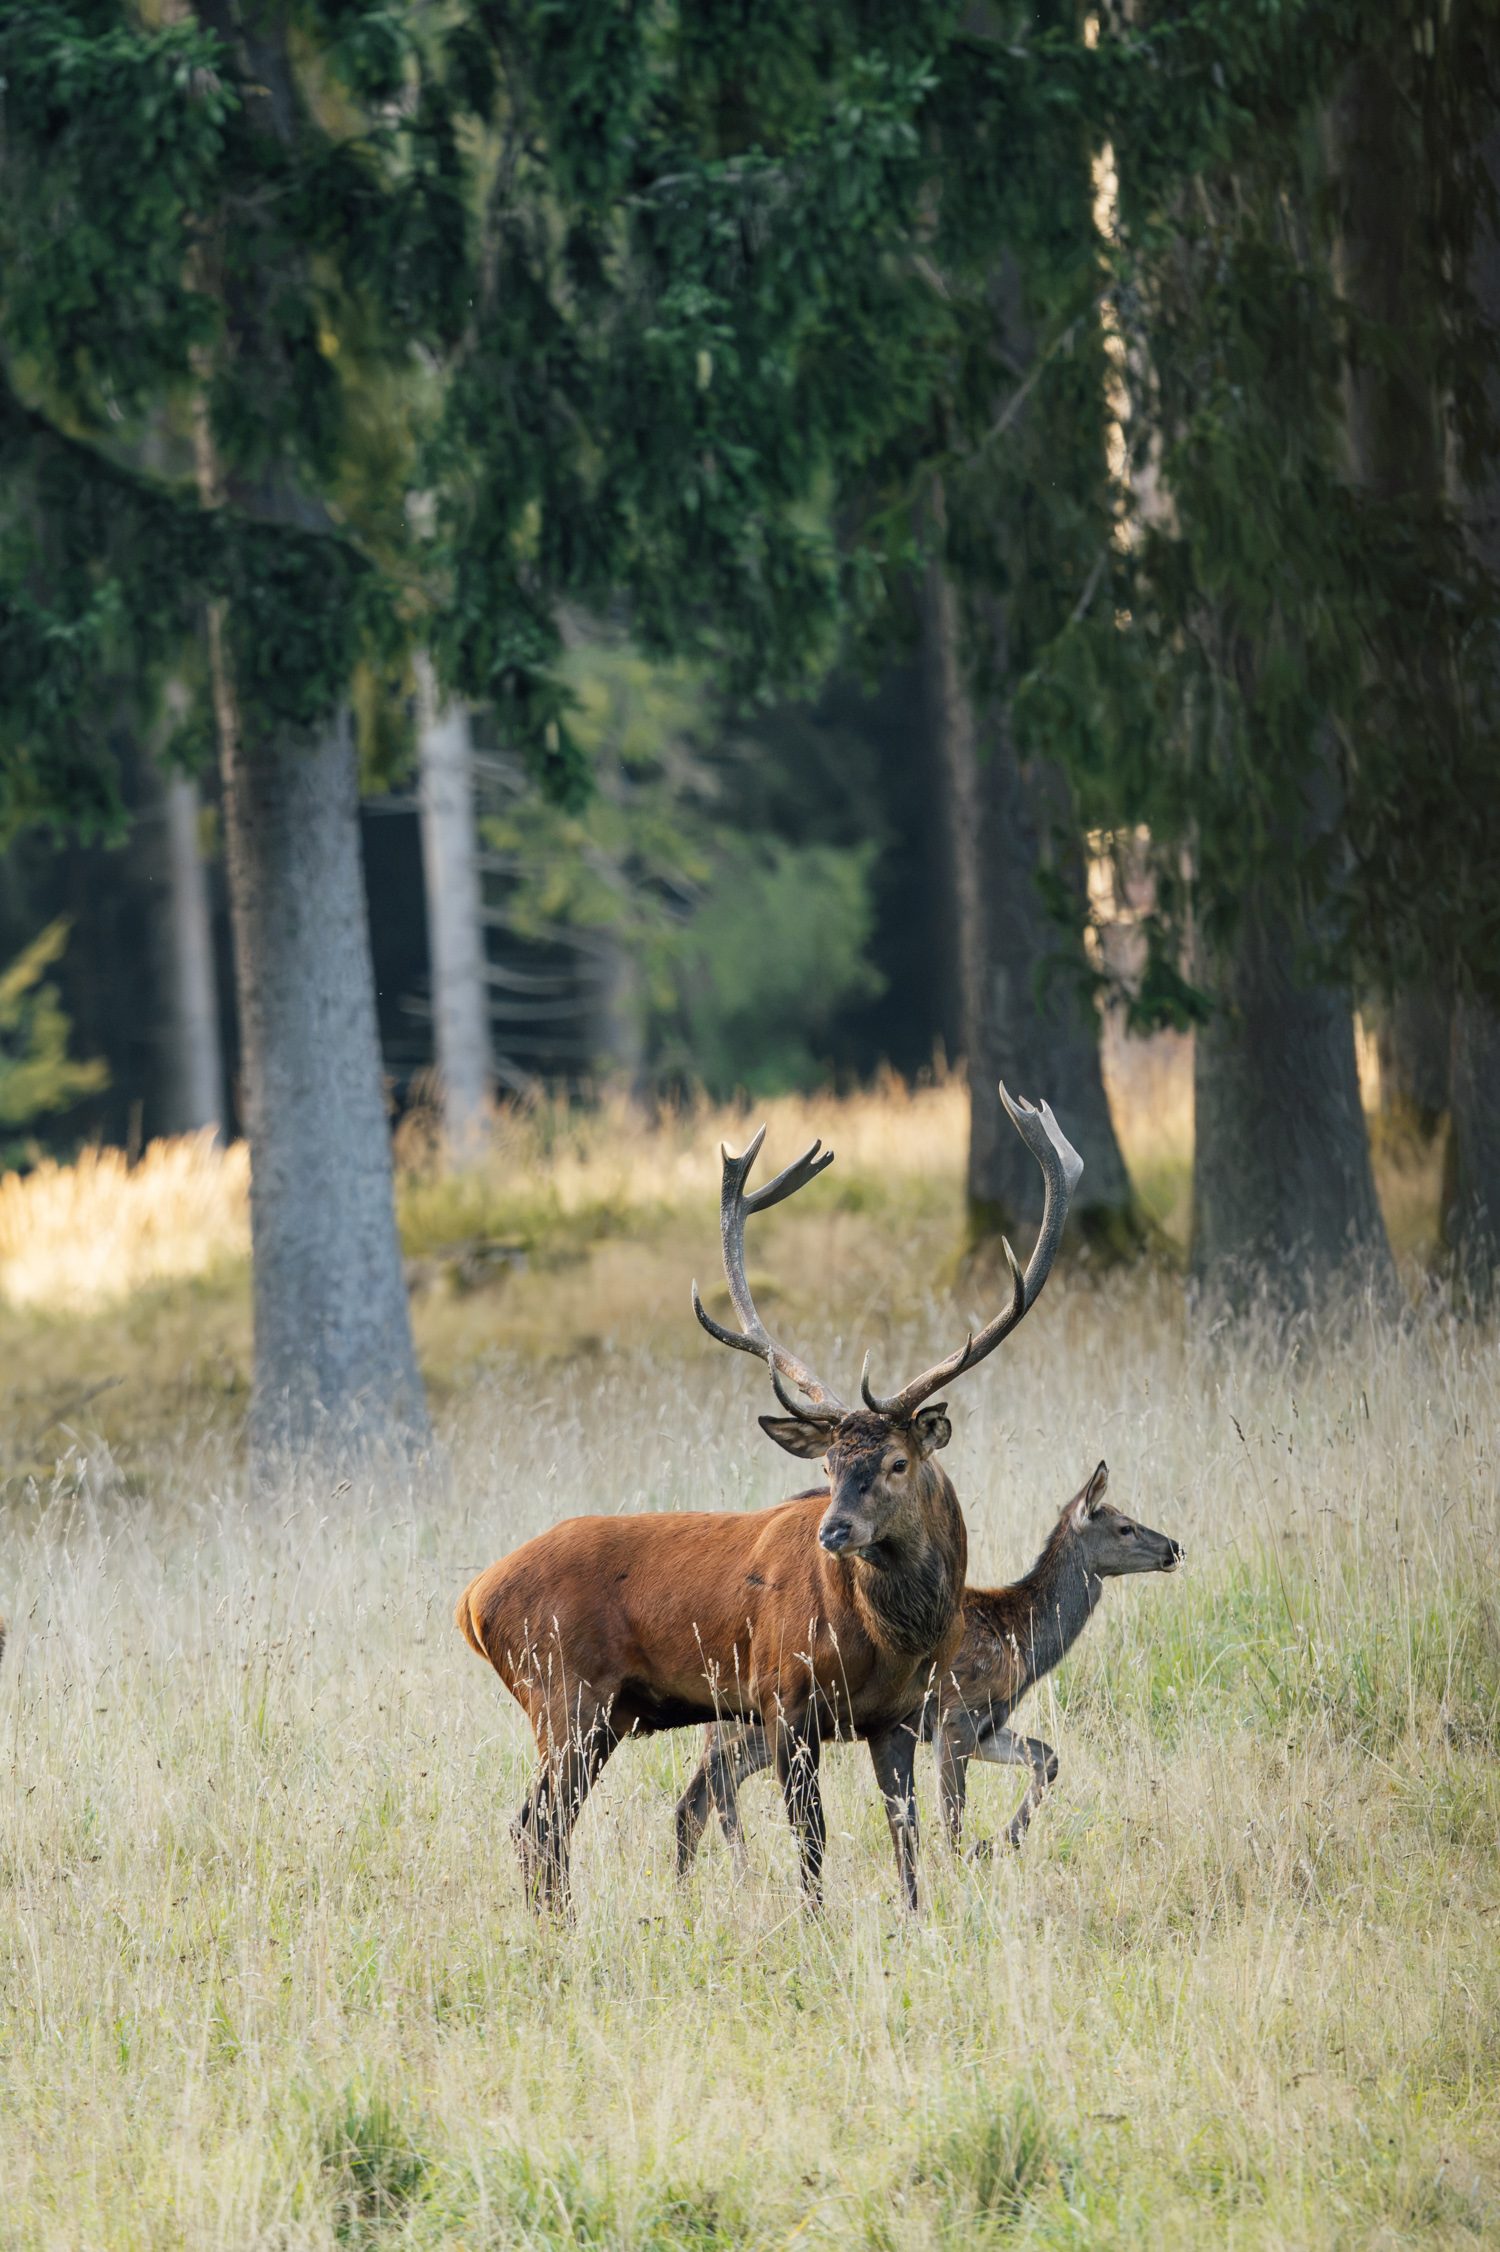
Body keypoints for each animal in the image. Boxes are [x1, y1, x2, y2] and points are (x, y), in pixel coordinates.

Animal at [456, 1084, 1081, 1914]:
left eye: (897, 1462)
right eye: (829, 1466)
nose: (834, 1531)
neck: (888, 1639)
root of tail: (472, 1600)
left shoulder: (897, 1718)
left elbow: (907, 1839)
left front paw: (916, 1916)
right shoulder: (783, 1698)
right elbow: (810, 1844)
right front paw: (813, 1925)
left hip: (601, 1714)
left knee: (540, 1827)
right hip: (563, 1696)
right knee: (539, 1825)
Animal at [673, 1462, 1183, 1870]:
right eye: (1125, 1527)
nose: (1175, 1548)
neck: (1019, 1636)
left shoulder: (987, 1725)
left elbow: (1047, 1758)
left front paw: (994, 1844)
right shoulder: (956, 1713)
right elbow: (952, 1814)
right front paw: (967, 1859)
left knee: (706, 1788)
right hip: (771, 1714)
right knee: (712, 1781)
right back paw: (738, 1872)